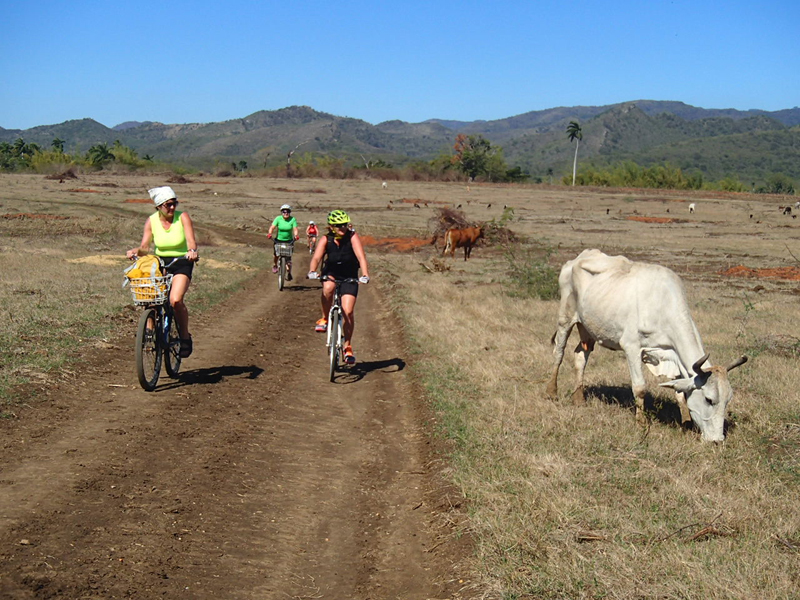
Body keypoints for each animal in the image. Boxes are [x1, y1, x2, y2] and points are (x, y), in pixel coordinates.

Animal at [548, 248, 748, 440]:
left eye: (727, 400)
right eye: (709, 399)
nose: (717, 439)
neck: (663, 305)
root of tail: (575, 259)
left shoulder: (673, 355)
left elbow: (680, 392)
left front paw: (686, 422)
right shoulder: (631, 346)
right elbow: (640, 388)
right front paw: (641, 424)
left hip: (589, 328)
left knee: (580, 356)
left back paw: (579, 399)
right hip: (565, 319)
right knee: (559, 353)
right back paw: (552, 392)